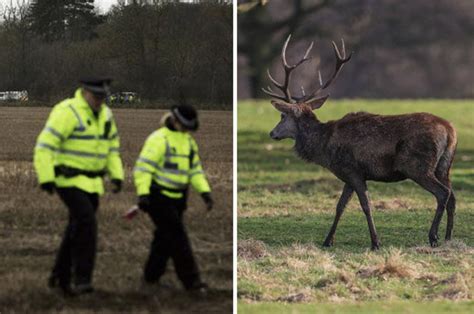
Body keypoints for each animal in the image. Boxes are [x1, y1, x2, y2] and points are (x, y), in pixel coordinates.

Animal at [262, 35, 458, 250]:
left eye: (282, 115)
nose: (272, 133)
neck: (325, 148)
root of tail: (450, 130)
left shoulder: (353, 170)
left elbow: (365, 206)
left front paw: (375, 242)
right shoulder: (349, 176)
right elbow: (340, 206)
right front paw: (328, 240)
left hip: (417, 165)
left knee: (443, 193)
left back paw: (433, 237)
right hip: (443, 166)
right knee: (452, 195)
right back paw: (448, 237)